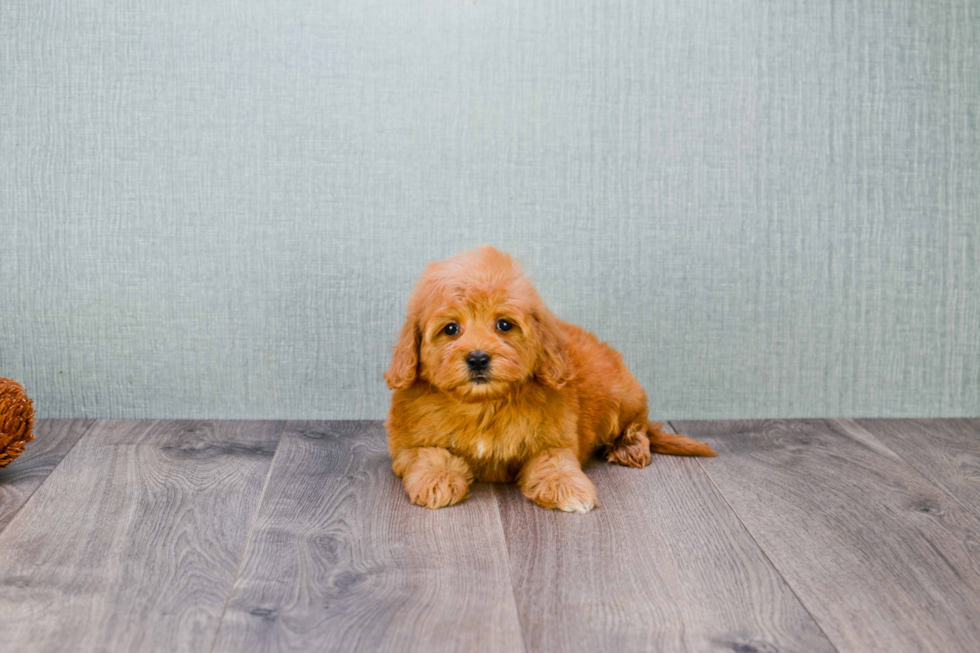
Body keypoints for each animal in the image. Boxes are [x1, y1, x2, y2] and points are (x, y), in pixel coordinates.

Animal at [380, 247, 712, 512]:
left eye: (504, 325)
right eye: (450, 329)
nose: (477, 358)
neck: (484, 404)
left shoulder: (554, 439)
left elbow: (553, 462)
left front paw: (568, 488)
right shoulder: (407, 444)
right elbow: (429, 454)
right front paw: (437, 480)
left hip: (622, 394)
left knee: (639, 424)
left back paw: (630, 446)